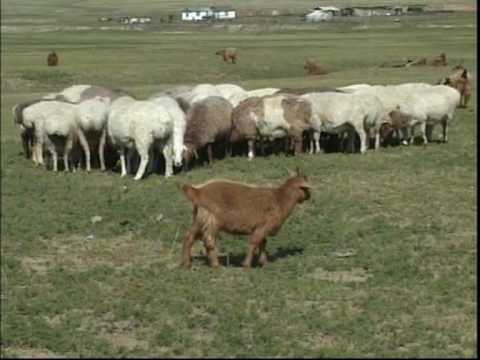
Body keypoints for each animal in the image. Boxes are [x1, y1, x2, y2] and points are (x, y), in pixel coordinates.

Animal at [180, 168, 312, 268]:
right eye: (306, 188)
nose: (309, 197)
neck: (280, 199)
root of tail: (198, 190)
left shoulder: (262, 228)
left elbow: (263, 243)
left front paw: (264, 263)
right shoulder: (262, 226)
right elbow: (254, 243)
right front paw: (247, 265)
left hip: (199, 219)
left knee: (189, 237)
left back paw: (187, 263)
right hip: (211, 220)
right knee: (209, 241)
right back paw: (216, 265)